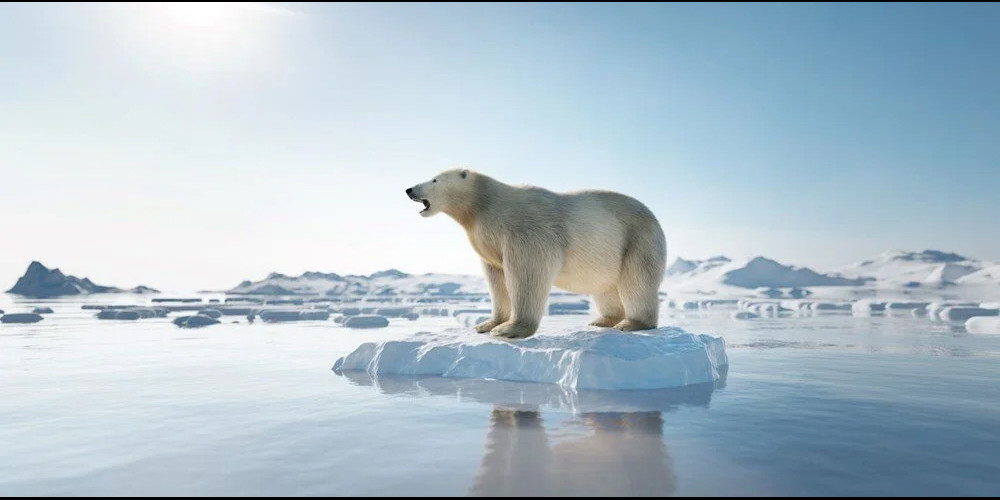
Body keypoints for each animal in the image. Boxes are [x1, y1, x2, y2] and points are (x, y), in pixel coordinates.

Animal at [406, 169, 664, 340]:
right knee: (605, 287)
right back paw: (602, 320)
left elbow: (527, 273)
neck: (485, 205)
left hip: (637, 240)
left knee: (636, 282)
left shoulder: (525, 230)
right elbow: (496, 278)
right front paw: (487, 324)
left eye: (434, 179)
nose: (409, 189)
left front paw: (509, 329)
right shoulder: (488, 241)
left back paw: (631, 323)